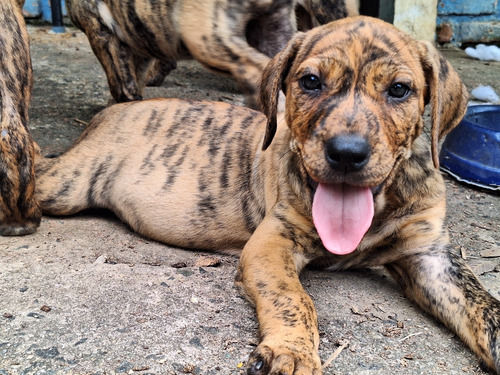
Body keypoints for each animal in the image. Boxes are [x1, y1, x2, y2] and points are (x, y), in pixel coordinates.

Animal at [33, 16, 498, 374]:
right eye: (310, 82)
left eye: (399, 89)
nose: (347, 154)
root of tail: (108, 112)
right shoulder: (272, 242)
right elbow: (293, 298)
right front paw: (292, 352)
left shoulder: (432, 257)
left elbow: (487, 309)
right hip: (67, 185)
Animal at [65, 0, 356, 106]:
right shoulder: (138, 41)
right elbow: (133, 81)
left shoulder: (100, 33)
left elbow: (120, 84)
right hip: (275, 30)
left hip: (204, 37)